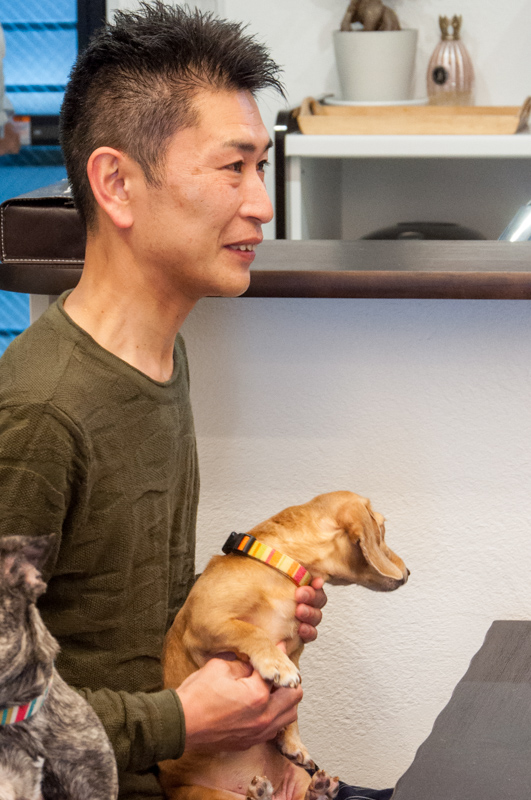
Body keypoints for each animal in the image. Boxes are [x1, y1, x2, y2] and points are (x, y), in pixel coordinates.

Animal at [160, 490, 408, 800]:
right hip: (207, 795)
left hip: (296, 780)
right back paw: (259, 791)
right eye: (383, 529)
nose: (409, 572)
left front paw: (293, 744)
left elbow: (294, 704)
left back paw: (318, 788)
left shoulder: (295, 649)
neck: (283, 568)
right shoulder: (206, 622)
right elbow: (253, 632)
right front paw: (276, 664)